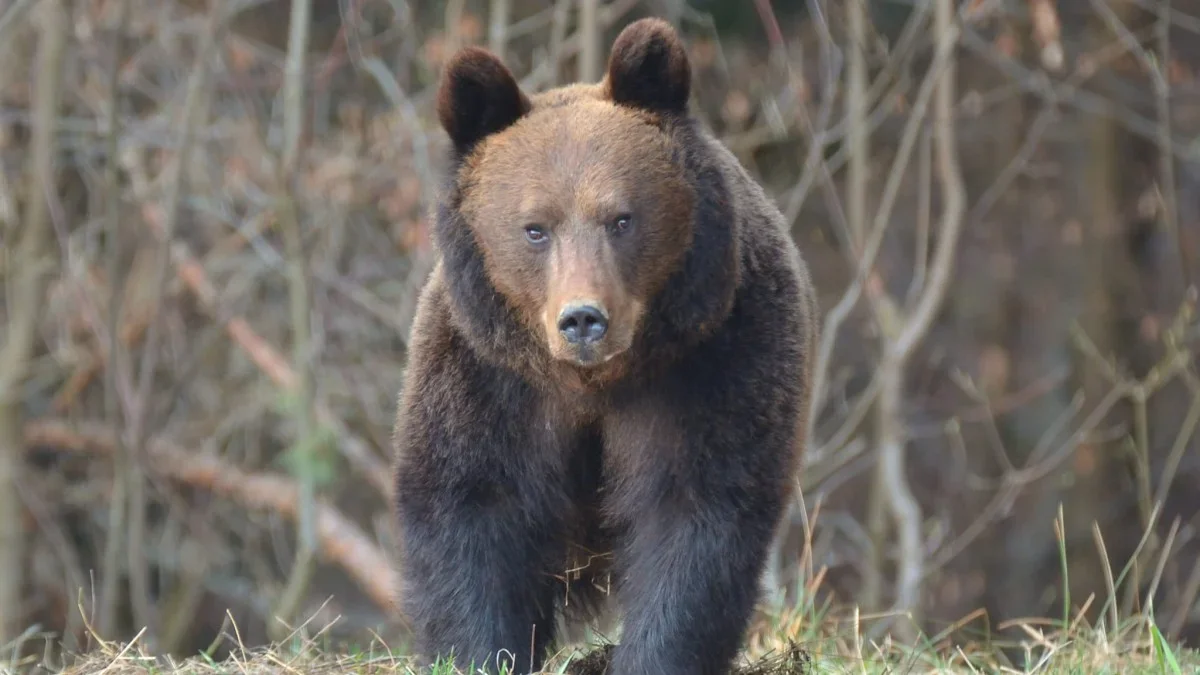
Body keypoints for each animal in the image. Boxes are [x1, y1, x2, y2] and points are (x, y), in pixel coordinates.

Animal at [391, 15, 816, 672]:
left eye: (622, 218)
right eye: (534, 228)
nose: (583, 319)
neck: (595, 383)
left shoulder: (718, 361)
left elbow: (697, 517)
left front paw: (654, 653)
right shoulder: (487, 379)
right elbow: (470, 507)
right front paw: (482, 650)